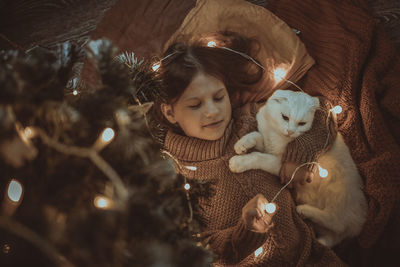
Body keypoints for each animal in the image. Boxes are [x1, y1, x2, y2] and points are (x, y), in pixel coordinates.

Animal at [230, 90, 368, 249]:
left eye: (302, 123)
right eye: (285, 117)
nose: (290, 131)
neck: (276, 136)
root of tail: (360, 221)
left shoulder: (280, 164)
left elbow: (258, 157)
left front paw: (238, 162)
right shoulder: (267, 145)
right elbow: (256, 135)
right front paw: (241, 144)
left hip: (338, 197)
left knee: (336, 222)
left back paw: (304, 210)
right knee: (334, 235)